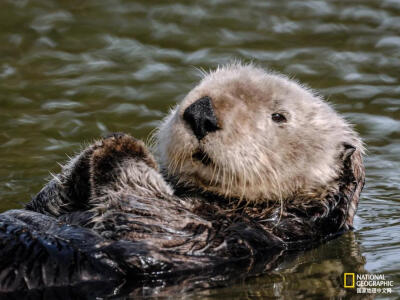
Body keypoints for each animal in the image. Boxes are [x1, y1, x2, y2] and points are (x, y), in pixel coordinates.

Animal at [0, 63, 364, 292]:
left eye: (279, 116)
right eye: (198, 89)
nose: (201, 113)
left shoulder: (223, 237)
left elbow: (150, 216)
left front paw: (124, 148)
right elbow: (47, 201)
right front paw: (104, 146)